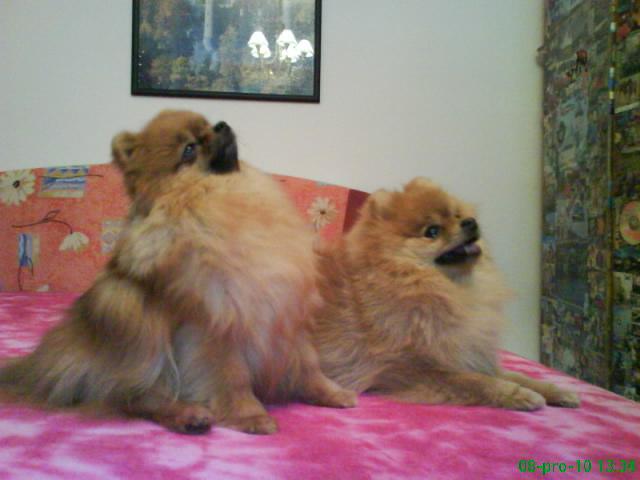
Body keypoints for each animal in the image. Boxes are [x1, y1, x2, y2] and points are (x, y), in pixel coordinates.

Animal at [0, 110, 356, 434]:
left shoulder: (285, 311)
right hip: (130, 316)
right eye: (188, 149)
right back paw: (188, 414)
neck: (218, 191)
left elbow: (309, 365)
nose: (221, 125)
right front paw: (250, 415)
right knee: (131, 396)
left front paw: (331, 392)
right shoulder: (217, 321)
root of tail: (39, 364)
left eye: (207, 124)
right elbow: (233, 376)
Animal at [313, 177, 579, 410]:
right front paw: (519, 395)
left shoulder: (467, 353)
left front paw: (555, 390)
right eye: (432, 231)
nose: (470, 222)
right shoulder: (405, 370)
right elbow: (475, 381)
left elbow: (515, 375)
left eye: (457, 215)